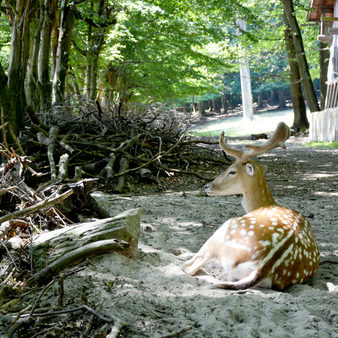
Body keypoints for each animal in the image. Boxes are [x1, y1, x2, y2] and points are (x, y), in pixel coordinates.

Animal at [182, 123, 320, 290]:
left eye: (232, 171)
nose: (207, 186)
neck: (264, 204)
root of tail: (261, 268)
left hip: (224, 229)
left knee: (189, 266)